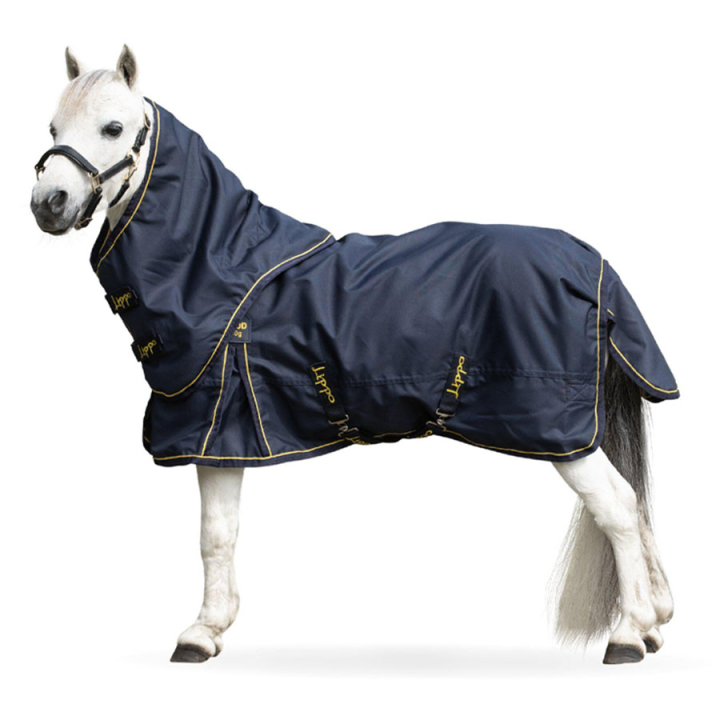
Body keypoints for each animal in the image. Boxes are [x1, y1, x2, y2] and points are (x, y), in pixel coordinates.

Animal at [30, 46, 677, 665]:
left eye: (114, 127)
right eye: (53, 126)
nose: (48, 202)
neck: (219, 271)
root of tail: (589, 262)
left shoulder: (211, 431)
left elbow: (213, 535)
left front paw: (200, 633)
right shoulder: (224, 438)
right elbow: (224, 532)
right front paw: (213, 628)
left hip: (559, 429)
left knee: (618, 507)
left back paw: (628, 634)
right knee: (636, 503)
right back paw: (656, 622)